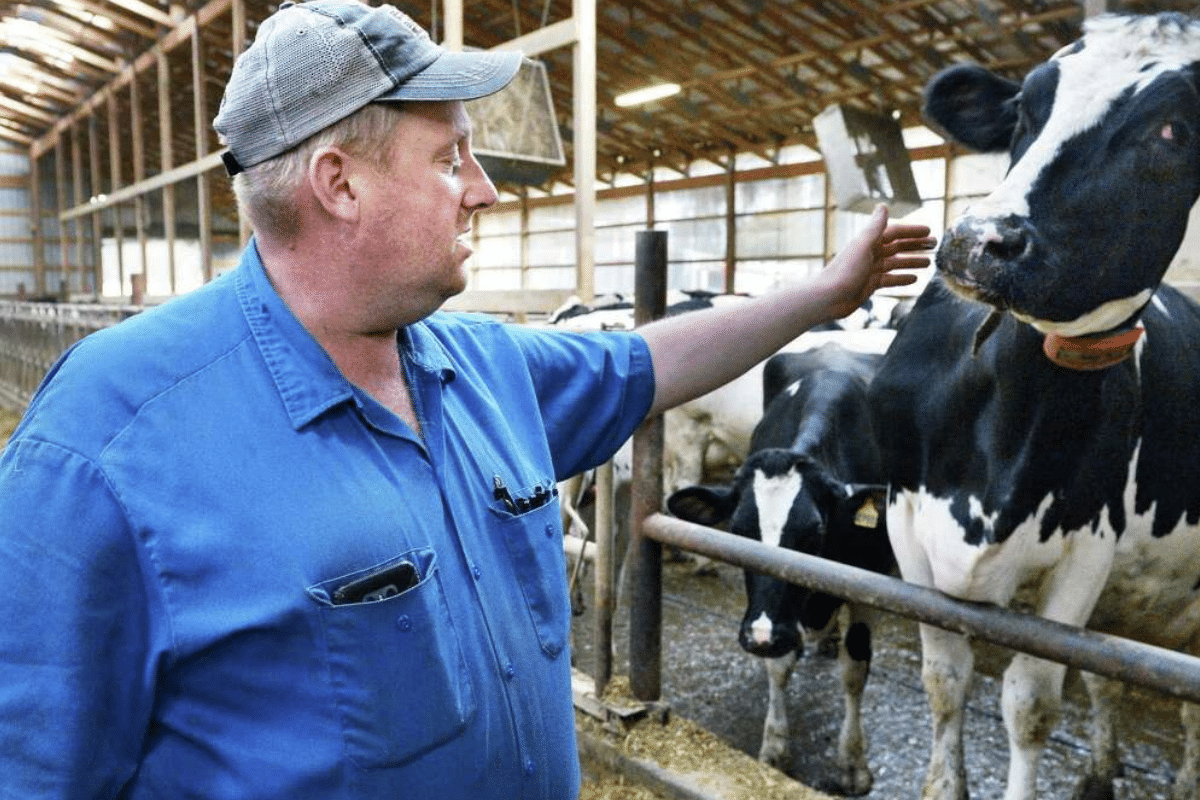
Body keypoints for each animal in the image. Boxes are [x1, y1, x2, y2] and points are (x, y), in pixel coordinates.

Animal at [672, 345, 897, 796]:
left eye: (814, 533)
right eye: (738, 533)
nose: (762, 635)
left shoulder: (871, 584)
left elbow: (855, 670)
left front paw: (852, 764)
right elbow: (779, 665)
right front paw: (775, 747)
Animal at [868, 12, 1200, 800]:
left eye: (1173, 130)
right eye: (1024, 107)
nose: (978, 244)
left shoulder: (1088, 548)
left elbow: (1031, 702)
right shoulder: (904, 519)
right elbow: (945, 677)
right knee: (1112, 677)